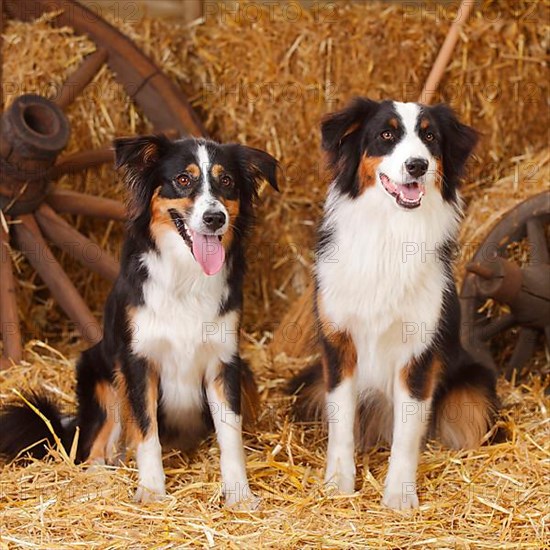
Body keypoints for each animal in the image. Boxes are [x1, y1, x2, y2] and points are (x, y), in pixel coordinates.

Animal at [0, 136, 280, 512]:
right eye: (183, 179)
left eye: (227, 182)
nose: (214, 218)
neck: (186, 276)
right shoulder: (137, 361)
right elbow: (146, 432)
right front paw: (151, 489)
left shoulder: (225, 361)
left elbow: (230, 436)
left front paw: (239, 494)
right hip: (101, 375)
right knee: (96, 446)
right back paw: (99, 475)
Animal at [292, 97, 502, 512]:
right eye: (386, 135)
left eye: (430, 137)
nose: (417, 165)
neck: (391, 231)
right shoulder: (338, 344)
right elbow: (341, 424)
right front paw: (338, 483)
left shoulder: (417, 353)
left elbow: (407, 433)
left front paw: (399, 495)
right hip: (311, 384)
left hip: (473, 391)